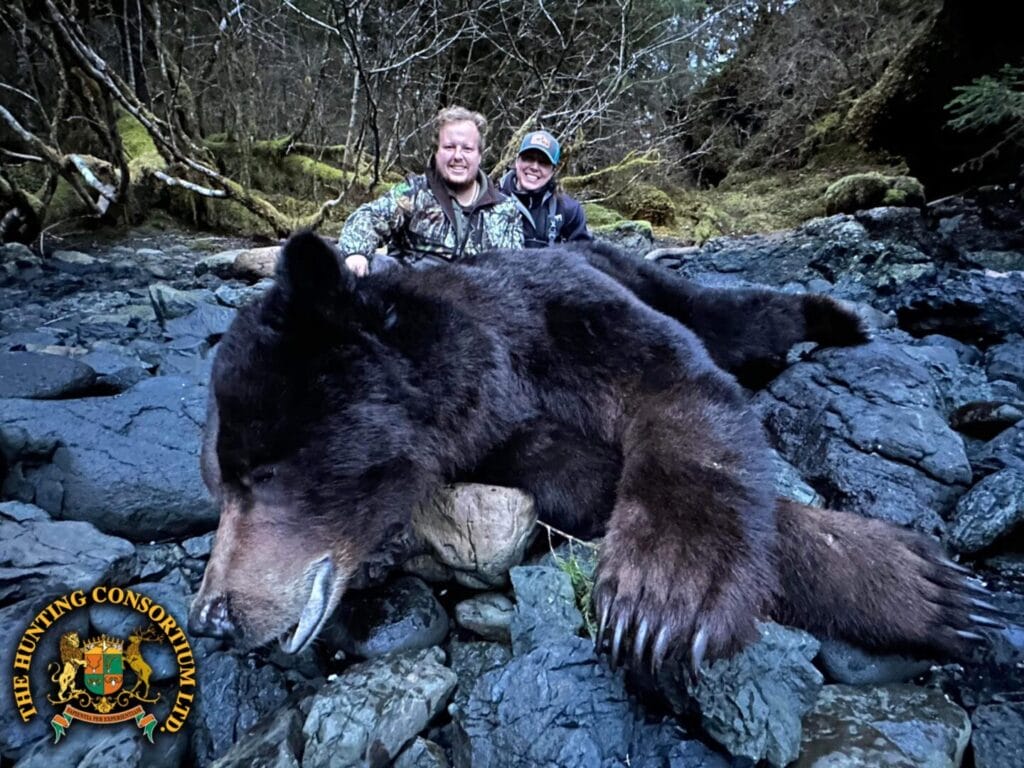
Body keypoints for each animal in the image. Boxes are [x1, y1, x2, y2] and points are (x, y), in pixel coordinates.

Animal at [189, 232, 998, 673]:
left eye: (263, 472)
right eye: (220, 486)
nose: (210, 618)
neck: (489, 359)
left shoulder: (564, 321)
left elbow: (680, 393)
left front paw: (665, 592)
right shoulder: (501, 438)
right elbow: (580, 479)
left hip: (639, 278)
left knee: (732, 319)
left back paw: (840, 318)